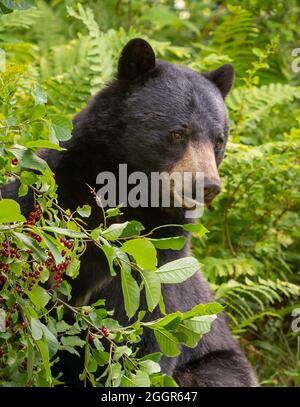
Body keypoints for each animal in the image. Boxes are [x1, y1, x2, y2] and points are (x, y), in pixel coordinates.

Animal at [2, 38, 256, 386]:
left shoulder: (154, 258)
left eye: (219, 140)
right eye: (178, 133)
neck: (124, 195)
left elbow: (140, 334)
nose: (206, 185)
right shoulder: (50, 195)